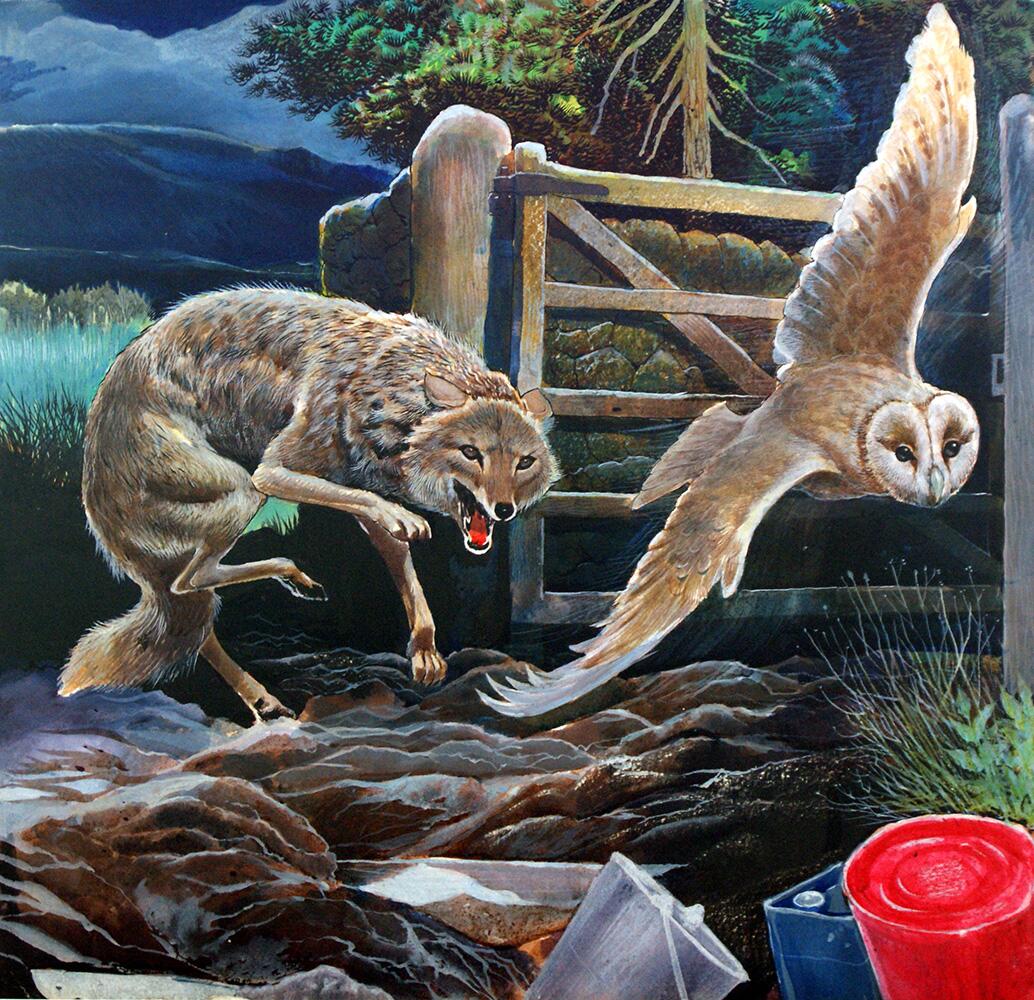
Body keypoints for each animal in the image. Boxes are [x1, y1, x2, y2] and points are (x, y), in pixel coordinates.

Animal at [62, 287, 558, 721]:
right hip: (242, 491)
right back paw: (292, 581)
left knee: (195, 613)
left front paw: (425, 652)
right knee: (193, 582)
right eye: (471, 453)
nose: (504, 510)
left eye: (524, 462)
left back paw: (266, 697)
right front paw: (404, 519)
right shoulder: (276, 469)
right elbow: (376, 513)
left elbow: (399, 560)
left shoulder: (357, 481)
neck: (387, 390)